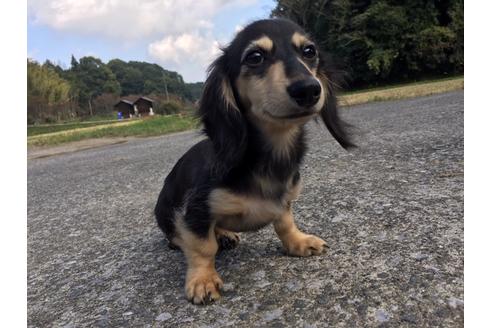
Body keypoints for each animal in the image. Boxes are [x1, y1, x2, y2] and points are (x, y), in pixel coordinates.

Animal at [156, 18, 352, 304]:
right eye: (255, 57)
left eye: (309, 51)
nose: (308, 89)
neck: (271, 156)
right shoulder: (196, 210)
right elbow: (203, 247)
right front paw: (202, 280)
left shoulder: (284, 202)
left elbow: (285, 223)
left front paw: (298, 242)